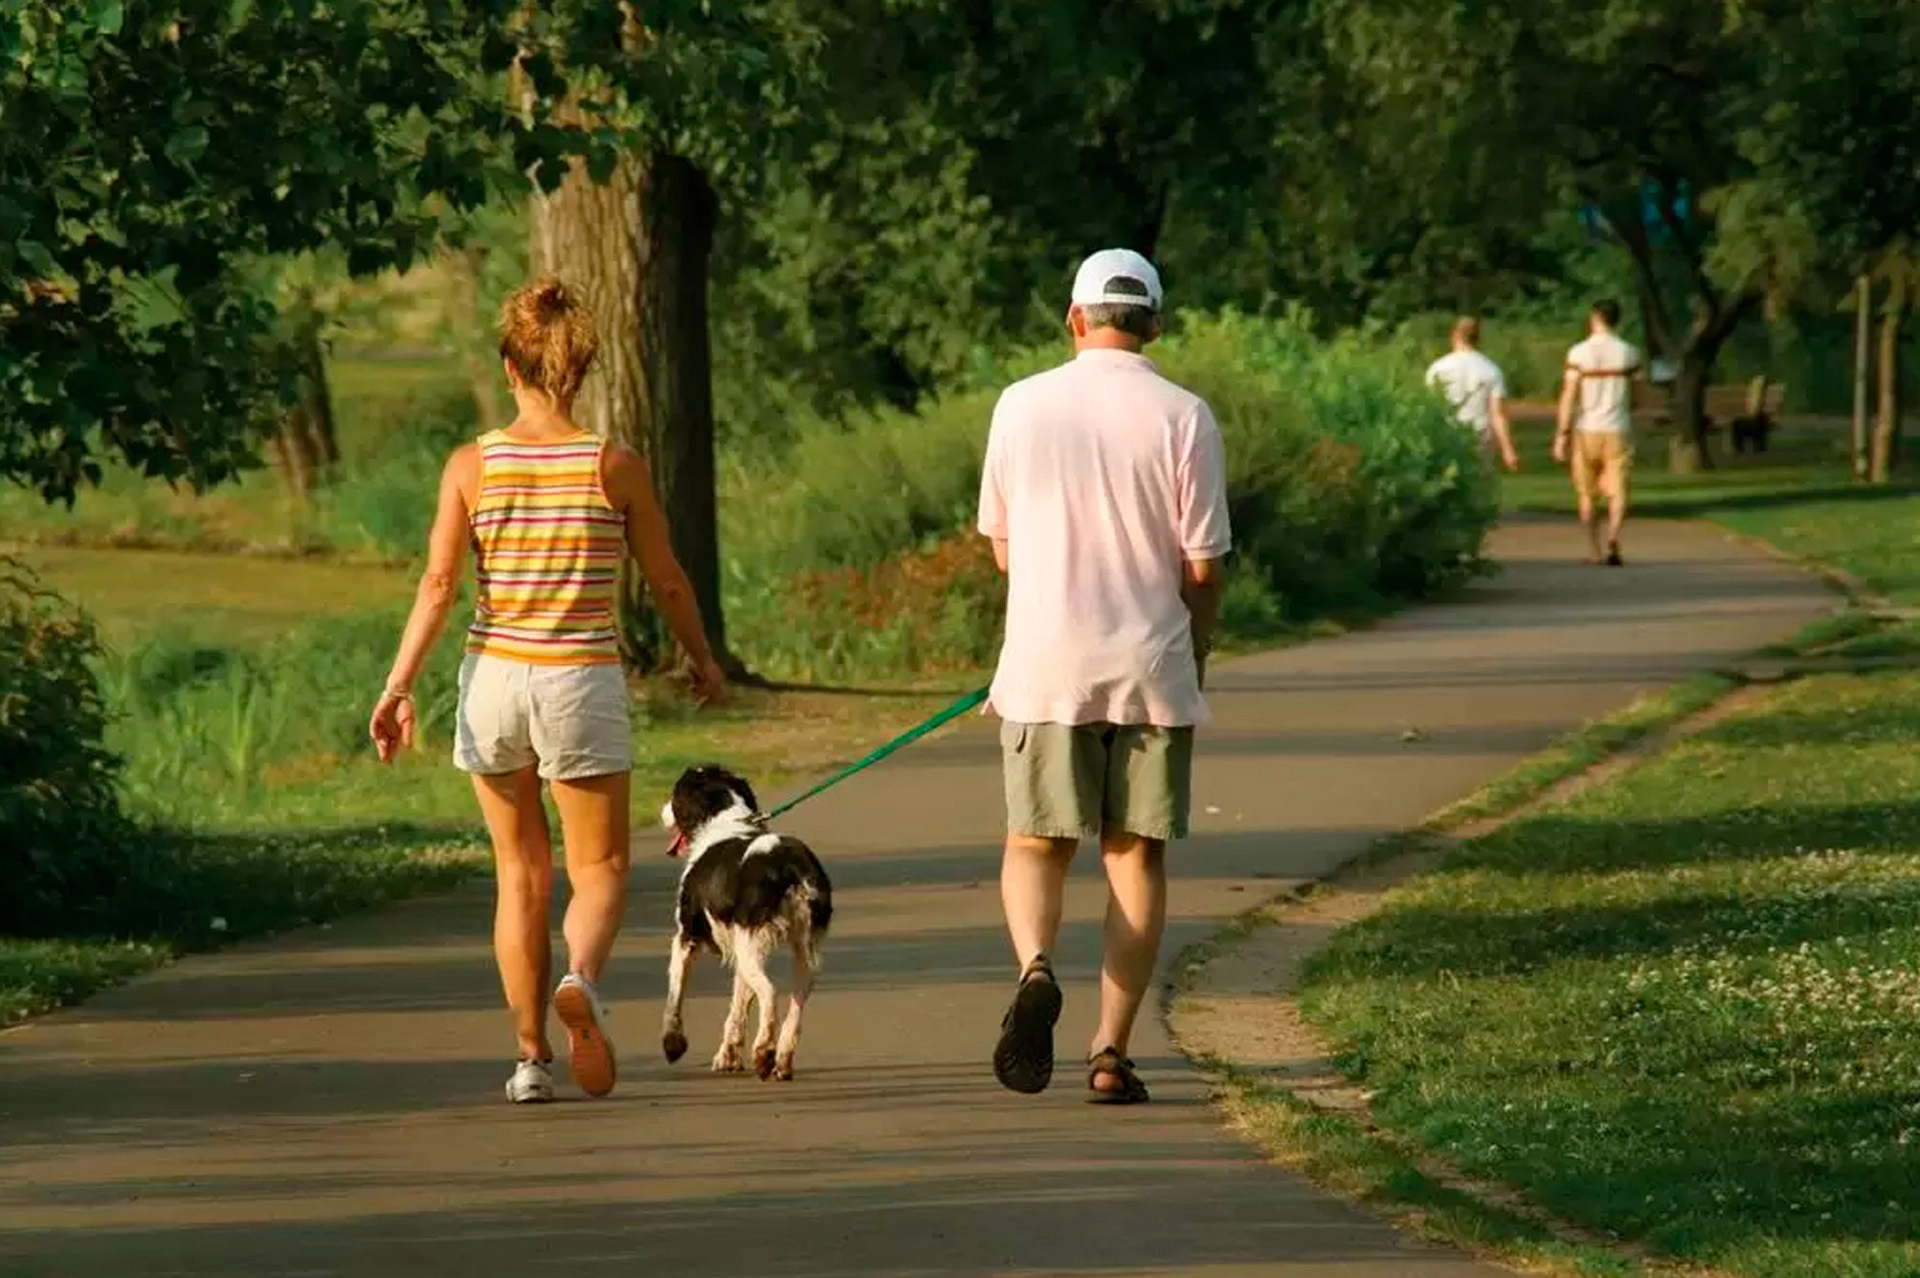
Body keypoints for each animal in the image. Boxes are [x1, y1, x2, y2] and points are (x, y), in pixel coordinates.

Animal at [660, 767, 833, 1074]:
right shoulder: (738, 946)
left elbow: (675, 994)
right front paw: (727, 1056)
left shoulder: (685, 937)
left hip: (752, 946)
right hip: (800, 950)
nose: (662, 811)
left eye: (675, 792)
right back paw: (782, 1060)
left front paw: (673, 1045)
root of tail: (790, 864)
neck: (726, 819)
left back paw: (764, 1051)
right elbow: (738, 1006)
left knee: (770, 993)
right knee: (797, 998)